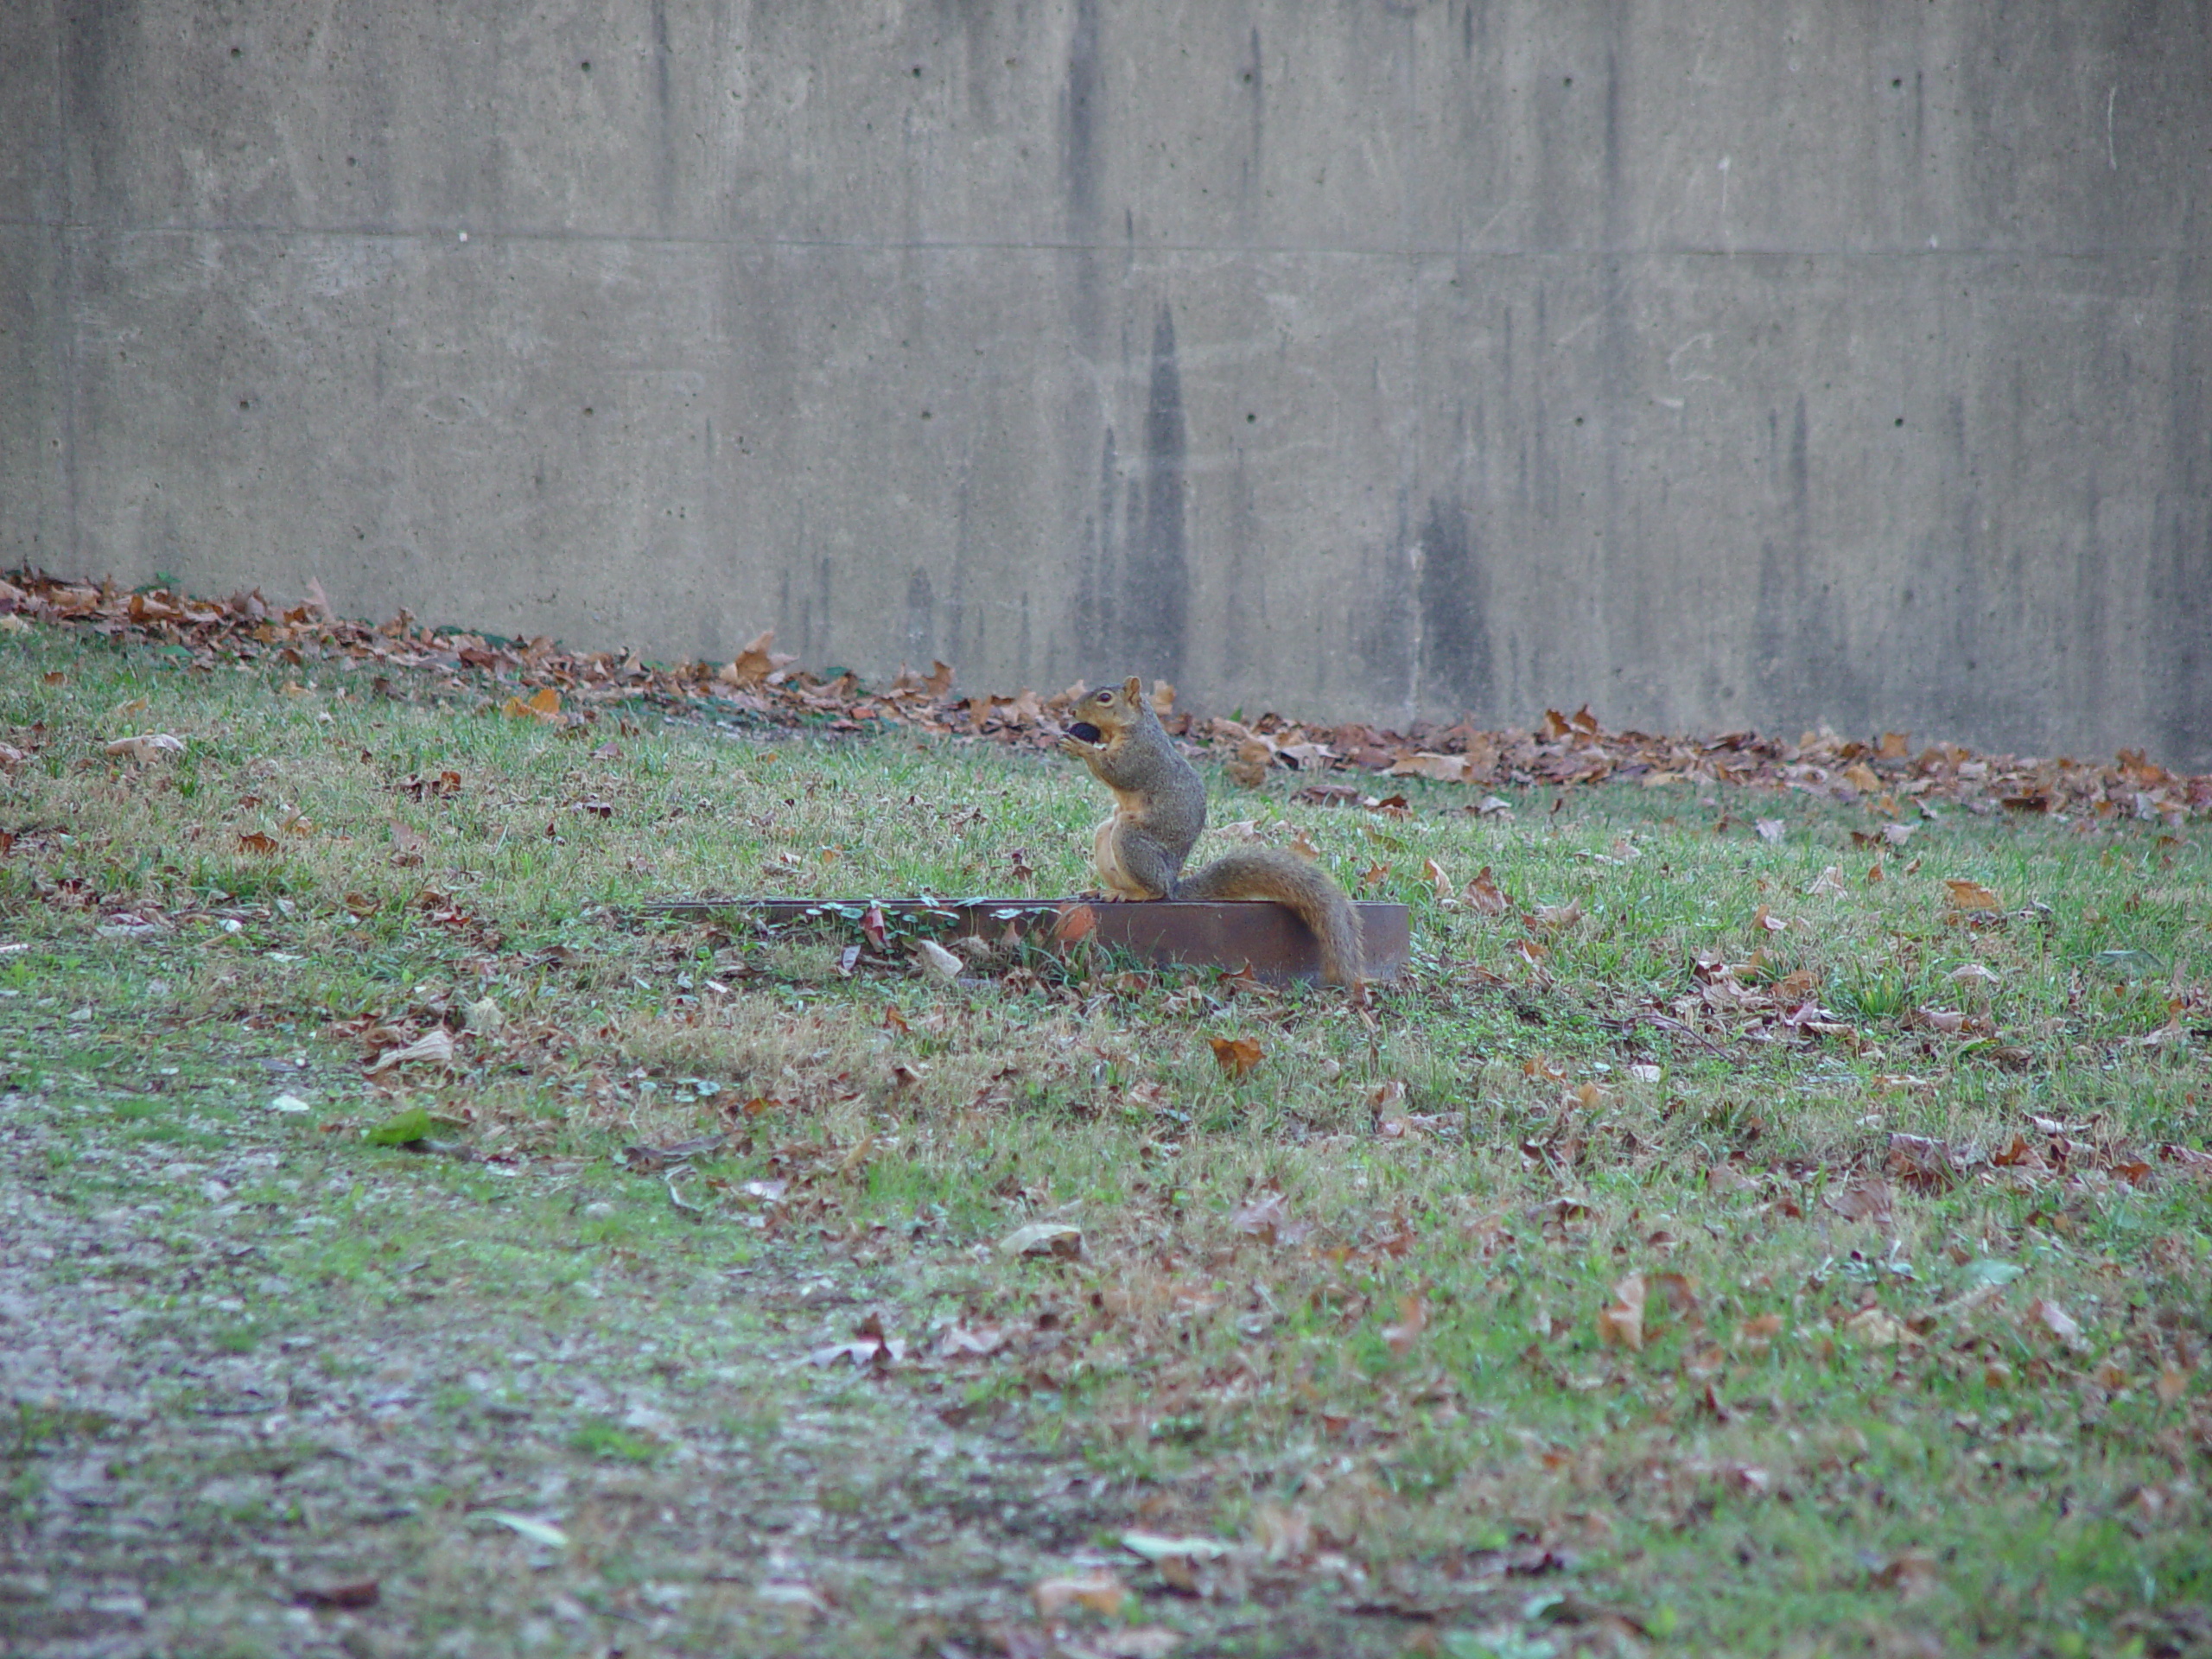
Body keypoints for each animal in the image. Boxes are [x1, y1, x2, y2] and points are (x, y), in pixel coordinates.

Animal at [1057, 672, 1362, 1000]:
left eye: (1105, 698)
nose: (1072, 711)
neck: (1133, 727)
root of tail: (1173, 881)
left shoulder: (1142, 755)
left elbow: (1118, 771)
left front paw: (1080, 747)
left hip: (1131, 840)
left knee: (1155, 890)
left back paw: (1134, 893)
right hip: (1107, 834)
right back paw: (1106, 891)